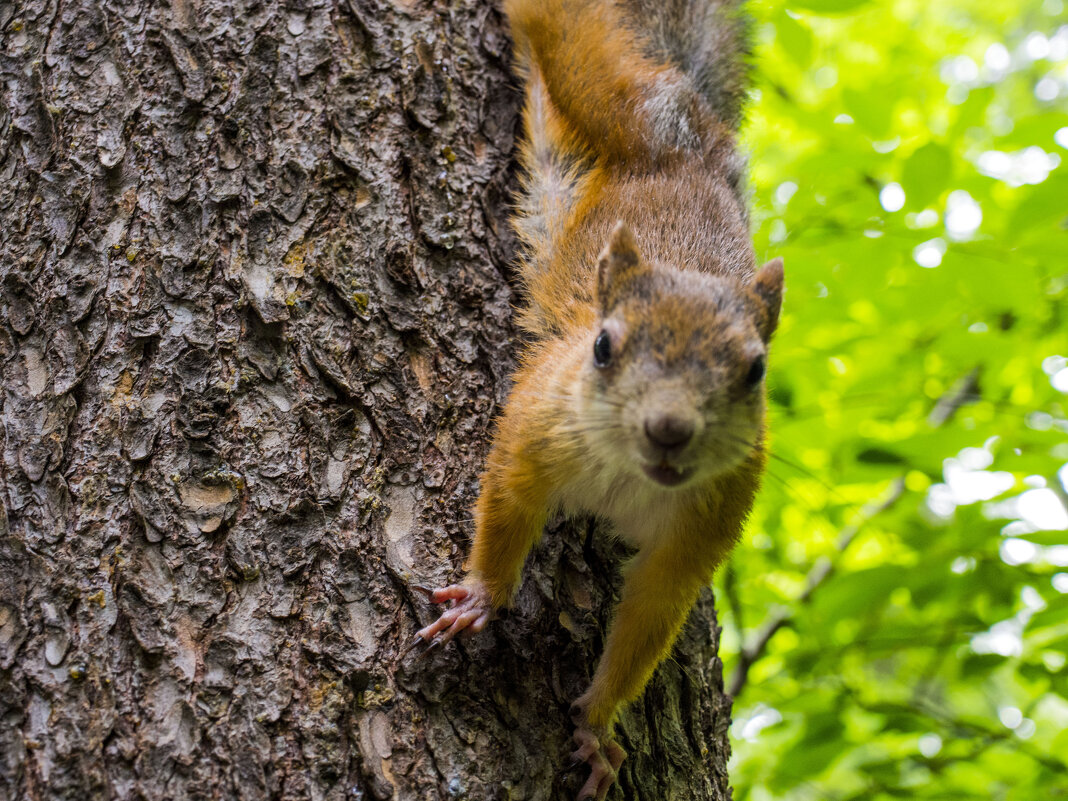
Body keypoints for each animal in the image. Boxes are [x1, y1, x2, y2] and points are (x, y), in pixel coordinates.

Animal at [412, 0, 781, 798]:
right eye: (604, 346)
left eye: (755, 371)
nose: (670, 428)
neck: (626, 476)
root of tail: (688, 148)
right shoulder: (538, 419)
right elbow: (509, 498)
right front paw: (484, 595)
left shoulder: (703, 529)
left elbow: (648, 616)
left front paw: (599, 729)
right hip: (599, 86)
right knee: (559, 29)